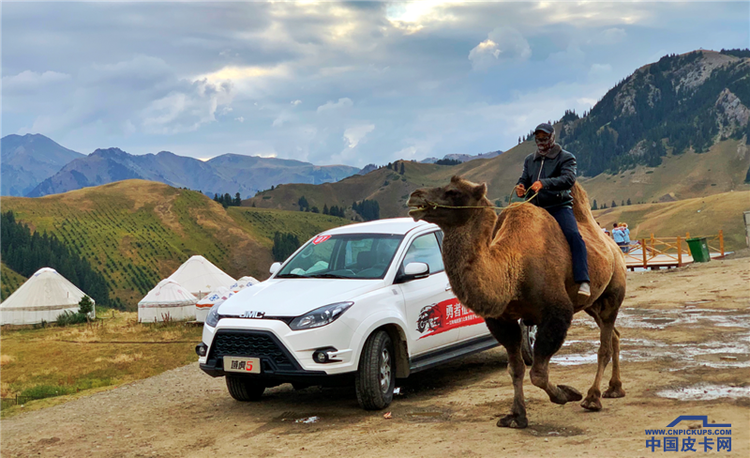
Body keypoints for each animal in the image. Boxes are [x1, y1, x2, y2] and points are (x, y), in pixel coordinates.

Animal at [408, 177, 624, 428]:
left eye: (453, 192)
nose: (414, 195)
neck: (513, 268)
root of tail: (613, 247)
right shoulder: (502, 319)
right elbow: (516, 368)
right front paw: (516, 415)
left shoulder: (557, 311)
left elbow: (538, 373)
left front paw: (566, 394)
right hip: (592, 304)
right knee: (614, 335)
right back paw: (614, 389)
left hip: (612, 294)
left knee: (604, 346)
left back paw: (592, 398)